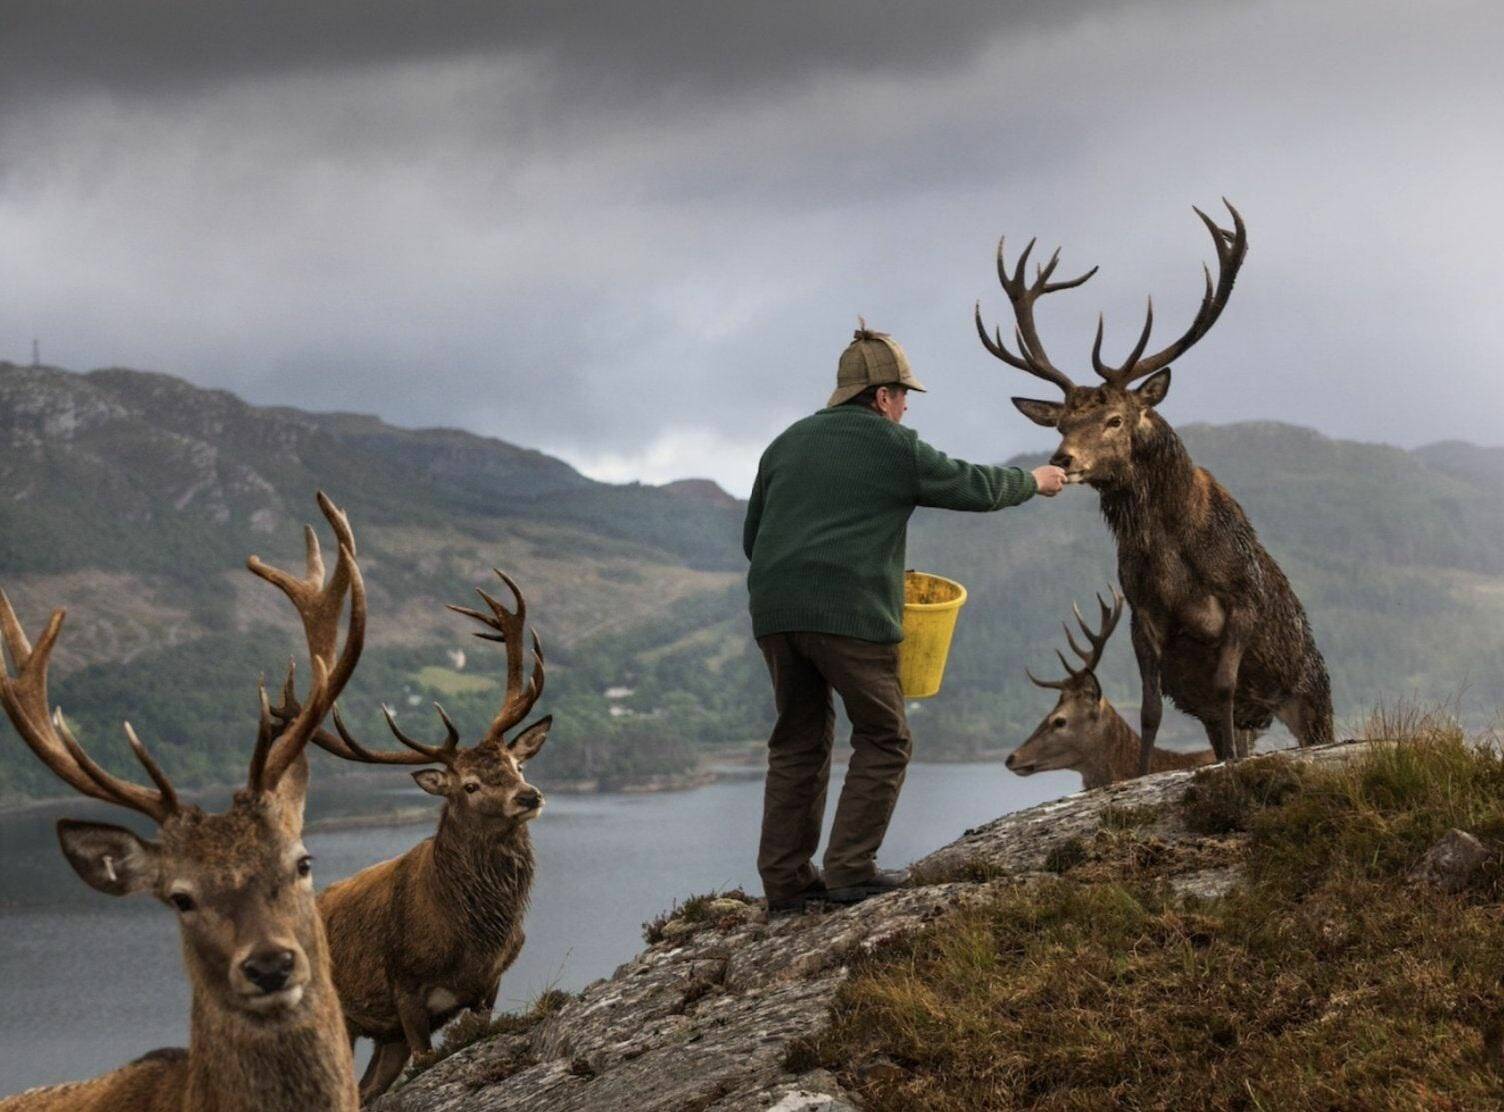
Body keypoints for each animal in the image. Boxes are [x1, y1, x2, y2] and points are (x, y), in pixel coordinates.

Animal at [273, 574, 550, 1107]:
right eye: (469, 785)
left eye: (517, 765)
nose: (529, 796)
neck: (473, 937)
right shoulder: (405, 986)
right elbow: (426, 1057)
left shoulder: (488, 985)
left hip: (384, 1039)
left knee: (365, 1090)